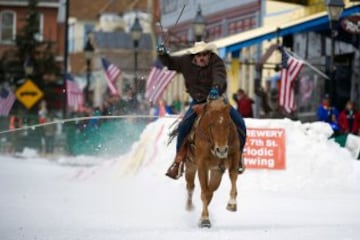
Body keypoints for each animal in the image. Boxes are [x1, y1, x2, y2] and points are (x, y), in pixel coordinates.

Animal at [183, 97, 242, 227]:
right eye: (211, 124)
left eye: (228, 124)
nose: (222, 149)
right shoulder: (202, 165)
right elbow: (204, 191)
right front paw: (205, 219)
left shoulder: (234, 155)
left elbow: (233, 177)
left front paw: (232, 203)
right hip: (190, 165)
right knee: (190, 186)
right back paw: (189, 207)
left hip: (216, 171)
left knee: (210, 190)